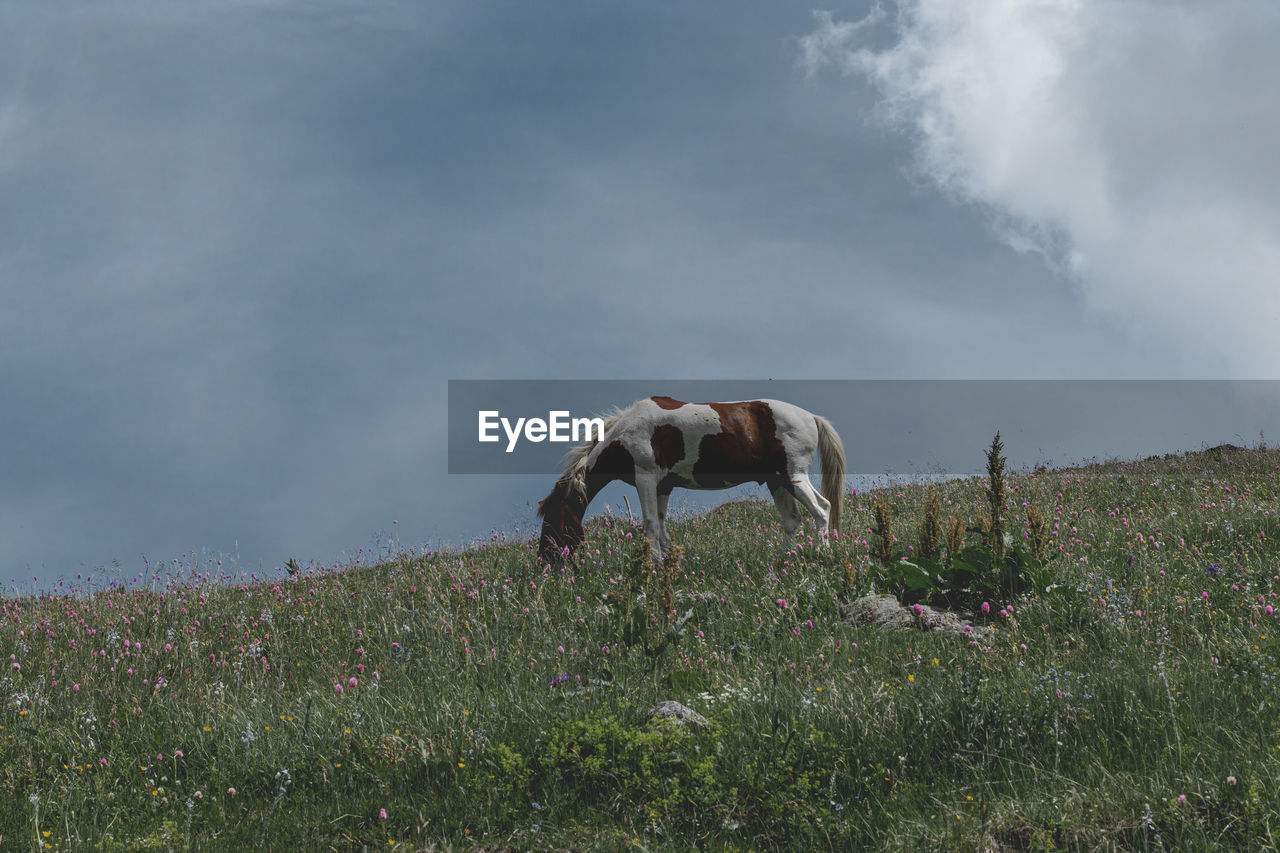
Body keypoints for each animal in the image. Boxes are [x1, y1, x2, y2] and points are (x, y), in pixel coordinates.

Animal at [535, 394, 844, 560]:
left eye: (551, 520)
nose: (545, 562)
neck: (624, 435)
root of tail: (812, 417)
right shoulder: (662, 487)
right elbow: (662, 529)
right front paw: (670, 563)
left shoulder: (646, 480)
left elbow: (650, 525)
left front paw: (653, 566)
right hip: (776, 481)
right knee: (792, 521)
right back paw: (784, 561)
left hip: (793, 477)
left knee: (822, 509)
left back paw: (822, 553)